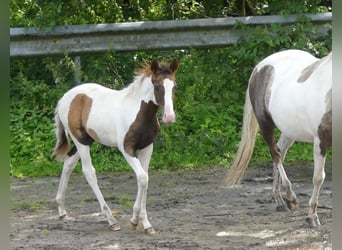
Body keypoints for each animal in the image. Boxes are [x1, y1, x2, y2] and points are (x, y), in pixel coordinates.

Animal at [52, 58, 179, 234]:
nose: (169, 117)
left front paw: (143, 223)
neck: (139, 112)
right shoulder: (126, 148)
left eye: (174, 86)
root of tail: (64, 98)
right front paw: (135, 220)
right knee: (89, 172)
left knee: (69, 163)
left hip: (87, 140)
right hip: (80, 141)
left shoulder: (147, 147)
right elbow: (142, 177)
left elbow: (145, 178)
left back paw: (62, 210)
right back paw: (111, 220)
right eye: (157, 85)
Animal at [227, 49, 332, 229]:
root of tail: (260, 67)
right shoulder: (321, 140)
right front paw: (312, 217)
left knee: (280, 152)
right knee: (275, 154)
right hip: (265, 124)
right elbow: (318, 178)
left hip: (289, 131)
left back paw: (279, 200)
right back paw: (290, 198)